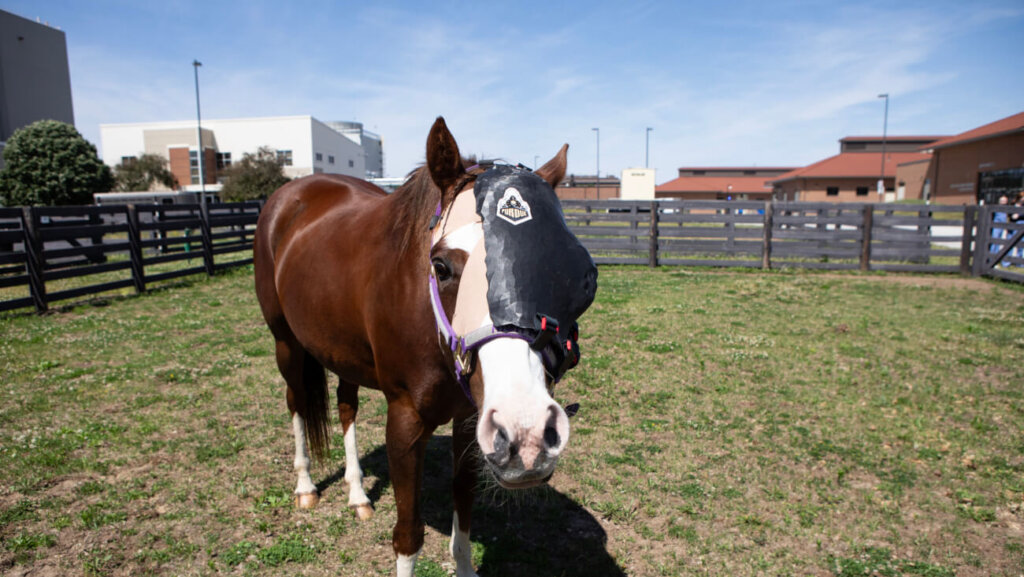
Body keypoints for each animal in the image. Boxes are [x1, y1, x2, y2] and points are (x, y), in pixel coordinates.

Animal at [253, 117, 597, 576]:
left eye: (574, 275)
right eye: (442, 267)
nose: (527, 436)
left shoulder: (470, 419)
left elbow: (464, 507)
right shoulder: (405, 422)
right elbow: (408, 534)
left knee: (346, 406)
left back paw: (357, 492)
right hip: (286, 344)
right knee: (295, 403)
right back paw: (306, 486)